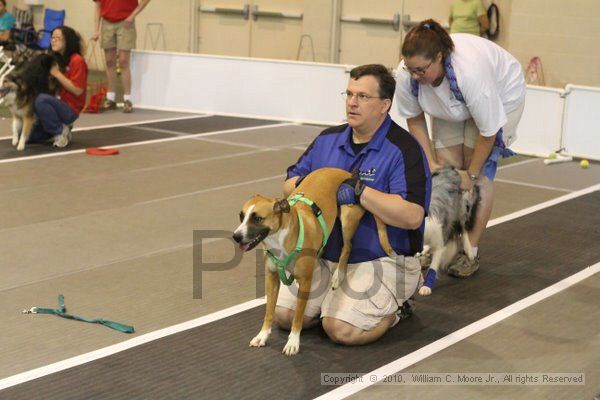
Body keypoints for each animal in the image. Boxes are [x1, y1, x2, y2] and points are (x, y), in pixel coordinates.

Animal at [232, 167, 396, 354]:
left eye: (257, 218)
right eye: (241, 216)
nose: (236, 236)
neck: (280, 238)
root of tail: (346, 174)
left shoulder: (305, 282)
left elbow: (297, 317)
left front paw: (293, 342)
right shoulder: (271, 278)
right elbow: (269, 312)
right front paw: (263, 335)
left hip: (348, 218)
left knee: (347, 247)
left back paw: (338, 275)